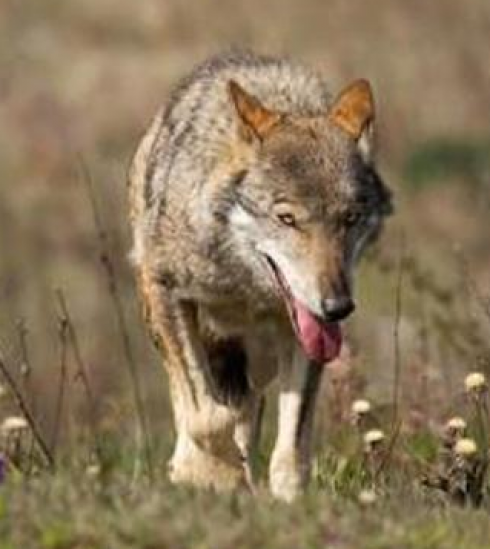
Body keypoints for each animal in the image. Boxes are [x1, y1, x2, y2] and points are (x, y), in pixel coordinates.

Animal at [128, 51, 392, 500]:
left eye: (350, 219)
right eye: (286, 219)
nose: (338, 307)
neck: (244, 286)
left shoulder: (306, 333)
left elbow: (291, 451)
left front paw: (287, 500)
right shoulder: (167, 290)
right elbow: (206, 416)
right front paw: (215, 476)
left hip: (260, 359)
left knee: (249, 409)